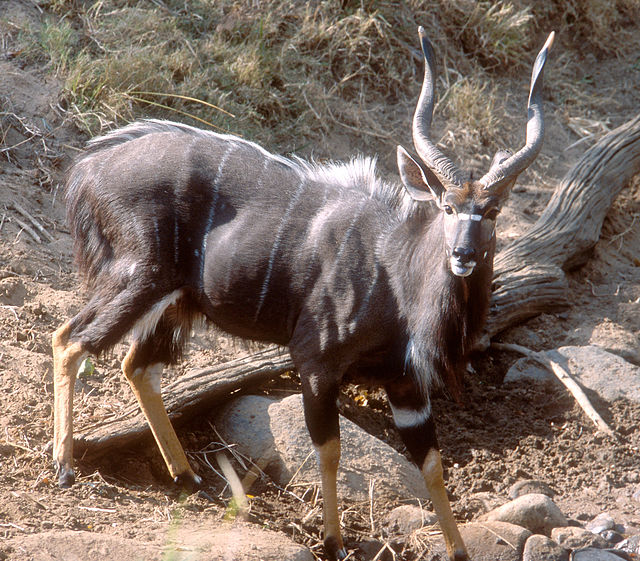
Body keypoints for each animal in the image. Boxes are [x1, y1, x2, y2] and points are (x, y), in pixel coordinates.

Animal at [52, 27, 552, 560]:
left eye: (493, 211)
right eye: (446, 207)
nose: (462, 254)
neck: (395, 273)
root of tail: (87, 168)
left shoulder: (406, 384)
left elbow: (433, 463)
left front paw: (458, 550)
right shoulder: (316, 361)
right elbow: (329, 449)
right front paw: (332, 541)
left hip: (174, 302)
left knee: (137, 365)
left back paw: (186, 477)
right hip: (137, 278)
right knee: (70, 339)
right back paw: (63, 467)